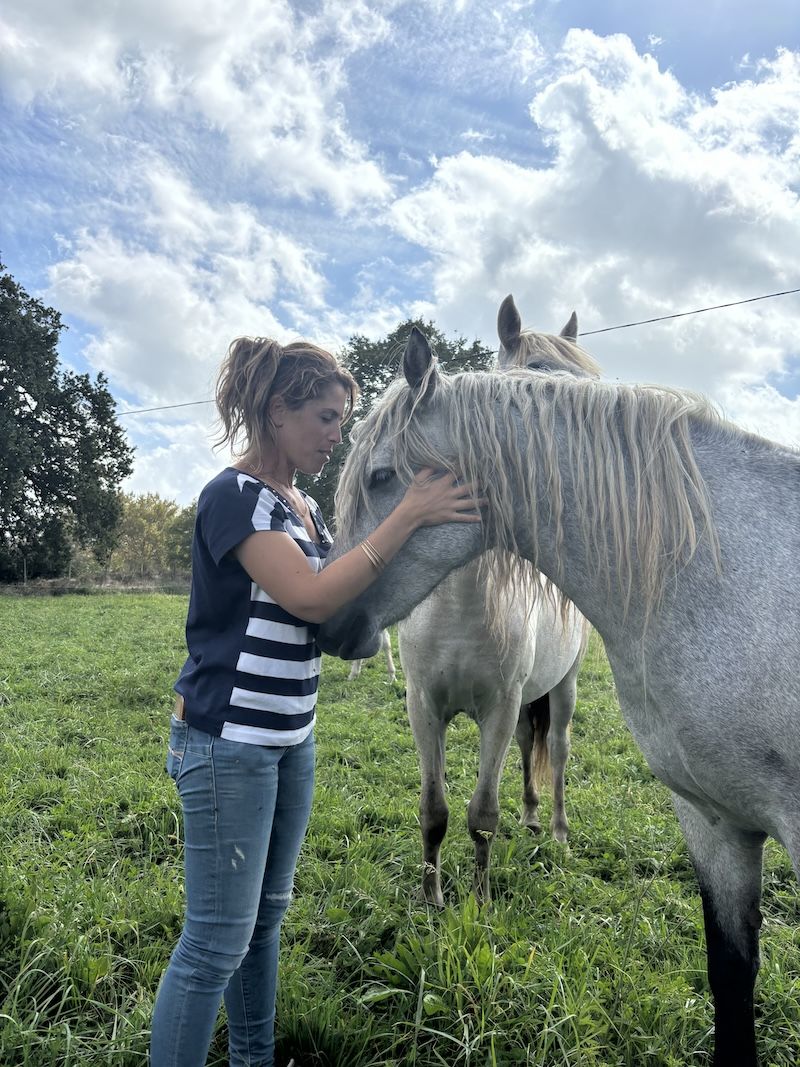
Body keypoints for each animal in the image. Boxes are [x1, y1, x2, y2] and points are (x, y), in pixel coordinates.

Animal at [398, 298, 597, 900]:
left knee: (557, 751)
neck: (461, 605)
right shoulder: (424, 708)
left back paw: (556, 833)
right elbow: (435, 811)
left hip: (564, 688)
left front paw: (481, 901)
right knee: (529, 755)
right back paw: (530, 818)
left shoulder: (500, 709)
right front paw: (432, 899)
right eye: (530, 379)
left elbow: (483, 814)